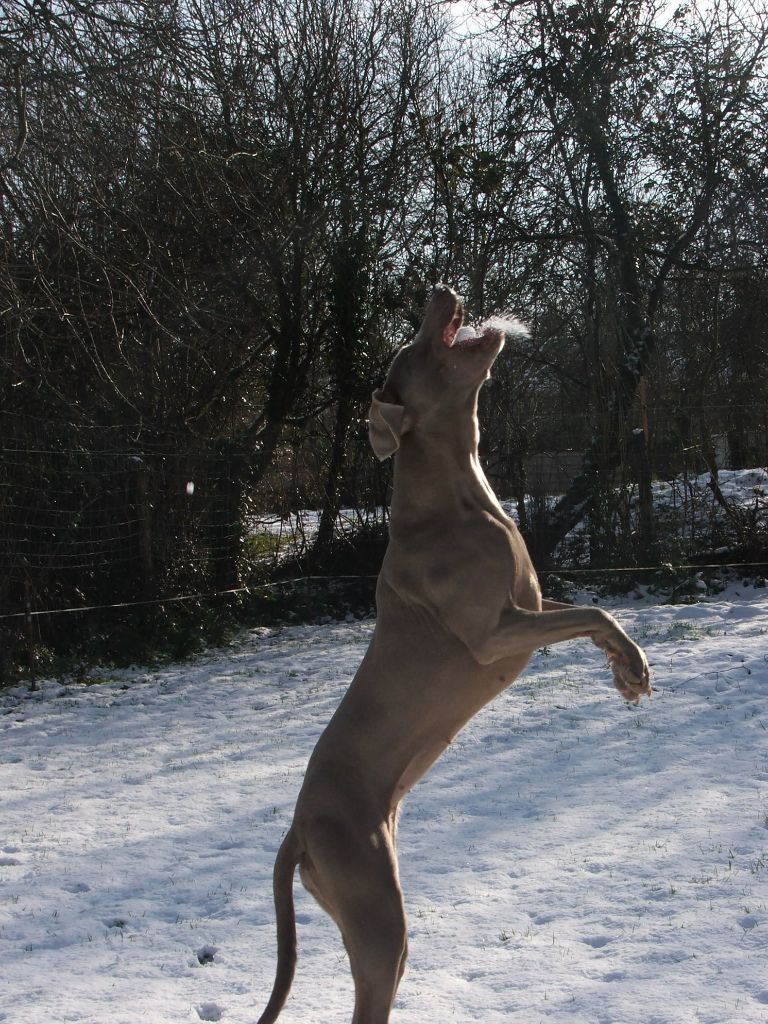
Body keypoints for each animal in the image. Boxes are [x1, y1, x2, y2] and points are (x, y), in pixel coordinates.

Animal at [259, 282, 651, 1024]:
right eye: (410, 346)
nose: (438, 290)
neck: (464, 497)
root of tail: (297, 828)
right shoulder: (494, 633)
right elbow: (595, 609)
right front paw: (636, 666)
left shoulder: (531, 605)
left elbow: (586, 614)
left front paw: (623, 666)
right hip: (376, 907)